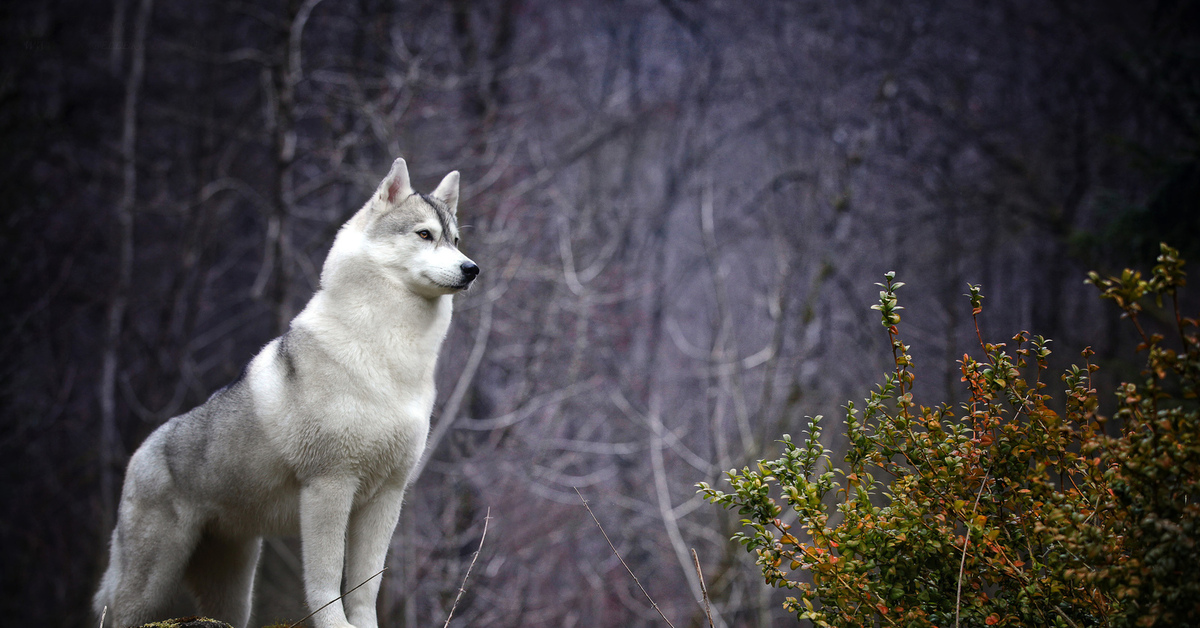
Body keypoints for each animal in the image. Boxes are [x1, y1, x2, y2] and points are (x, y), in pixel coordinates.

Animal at [94, 158, 477, 628]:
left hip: (234, 587)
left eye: (455, 241)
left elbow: (365, 588)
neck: (389, 354)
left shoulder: (386, 497)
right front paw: (335, 626)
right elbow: (327, 582)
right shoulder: (329, 487)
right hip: (150, 584)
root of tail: (142, 450)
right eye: (424, 234)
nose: (472, 269)